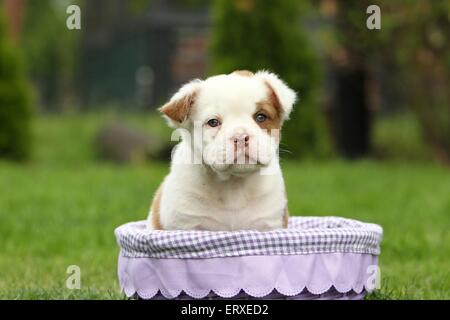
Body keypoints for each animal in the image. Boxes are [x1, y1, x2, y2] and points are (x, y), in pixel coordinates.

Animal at [147, 70, 298, 230]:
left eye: (261, 117)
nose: (240, 136)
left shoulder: (269, 223)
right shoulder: (184, 223)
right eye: (213, 122)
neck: (234, 184)